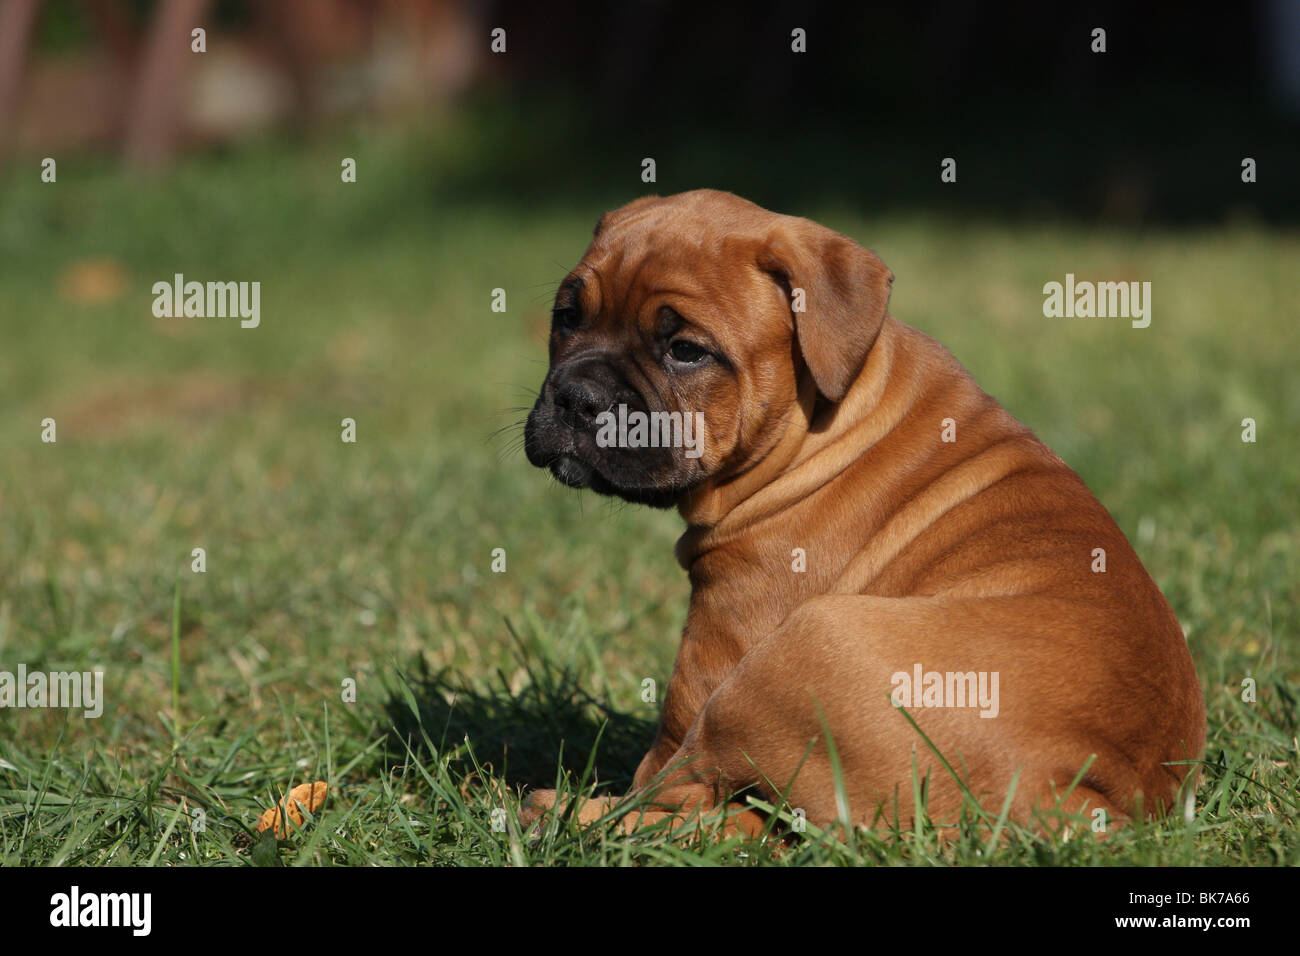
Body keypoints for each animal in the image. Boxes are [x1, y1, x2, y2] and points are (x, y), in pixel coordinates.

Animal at [520, 188, 1206, 837]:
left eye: (687, 350)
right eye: (567, 317)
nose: (576, 396)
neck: (818, 421)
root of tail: (1077, 793)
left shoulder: (715, 645)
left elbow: (660, 766)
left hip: (790, 654)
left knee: (681, 800)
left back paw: (554, 810)